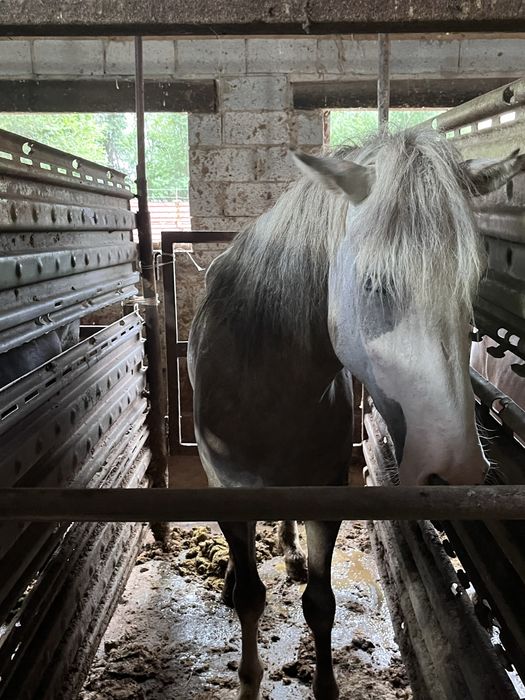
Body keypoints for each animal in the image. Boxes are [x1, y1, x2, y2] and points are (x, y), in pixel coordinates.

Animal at [188, 128, 524, 700]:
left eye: (471, 284)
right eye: (374, 283)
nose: (455, 471)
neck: (263, 378)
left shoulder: (326, 493)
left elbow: (320, 605)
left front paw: (324, 683)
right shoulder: (232, 490)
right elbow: (253, 598)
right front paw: (249, 677)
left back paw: (290, 551)